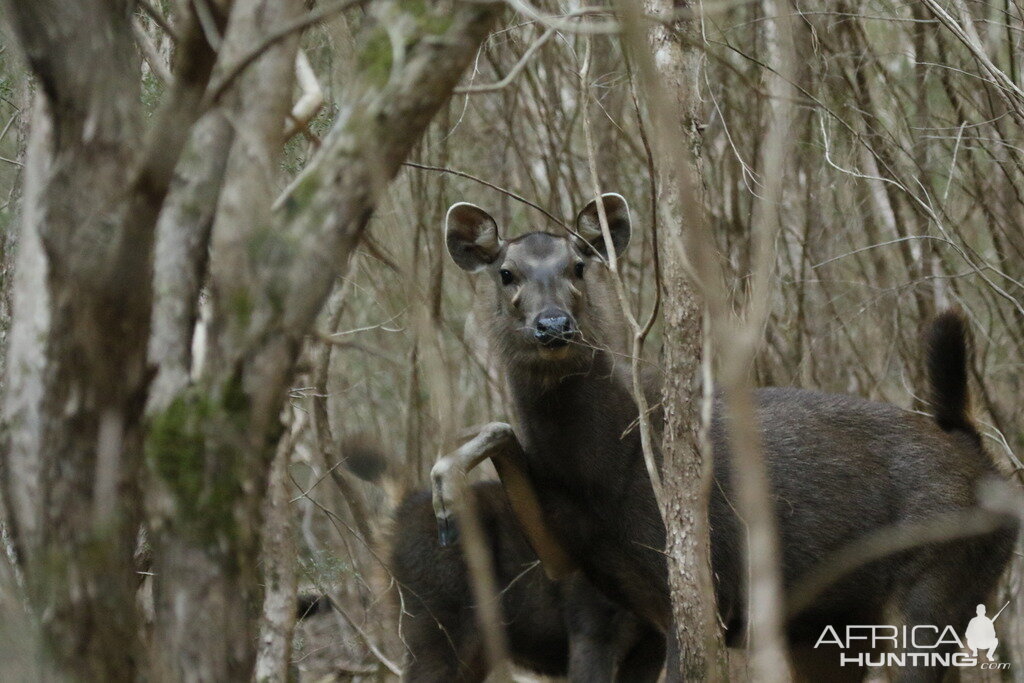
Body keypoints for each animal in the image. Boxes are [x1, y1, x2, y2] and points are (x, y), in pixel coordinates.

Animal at [432, 193, 1015, 683]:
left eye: (578, 266)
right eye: (506, 273)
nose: (553, 325)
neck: (602, 470)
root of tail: (983, 462)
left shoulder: (708, 585)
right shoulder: (581, 565)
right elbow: (503, 431)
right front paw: (444, 478)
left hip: (935, 584)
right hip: (832, 630)